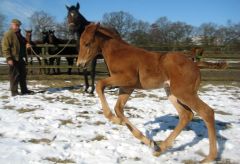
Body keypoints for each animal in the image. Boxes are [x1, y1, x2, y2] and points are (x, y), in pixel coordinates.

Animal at [76, 23, 218, 163]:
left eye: (87, 43)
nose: (80, 64)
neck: (119, 53)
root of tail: (196, 65)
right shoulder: (127, 87)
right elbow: (118, 109)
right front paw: (149, 141)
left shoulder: (128, 79)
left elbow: (100, 85)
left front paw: (114, 119)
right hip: (171, 93)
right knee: (186, 115)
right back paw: (160, 148)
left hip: (183, 93)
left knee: (206, 112)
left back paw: (209, 157)